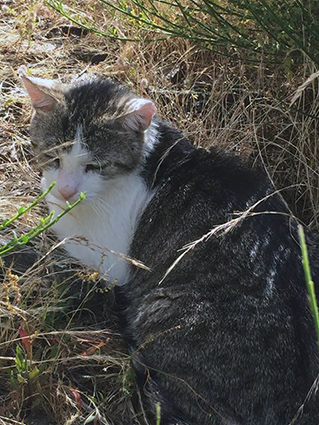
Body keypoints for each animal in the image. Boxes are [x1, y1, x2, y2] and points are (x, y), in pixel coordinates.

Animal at [20, 67, 319, 424]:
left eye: (95, 166)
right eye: (54, 156)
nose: (66, 190)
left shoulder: (108, 256)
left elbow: (59, 236)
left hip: (162, 309)